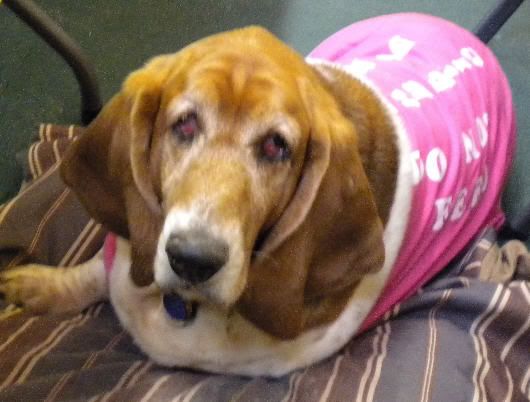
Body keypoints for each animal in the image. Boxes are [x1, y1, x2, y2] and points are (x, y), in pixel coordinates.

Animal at [0, 13, 515, 376]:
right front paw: (37, 285)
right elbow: (96, 273)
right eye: (184, 123)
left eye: (276, 146)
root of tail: (471, 40)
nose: (193, 260)